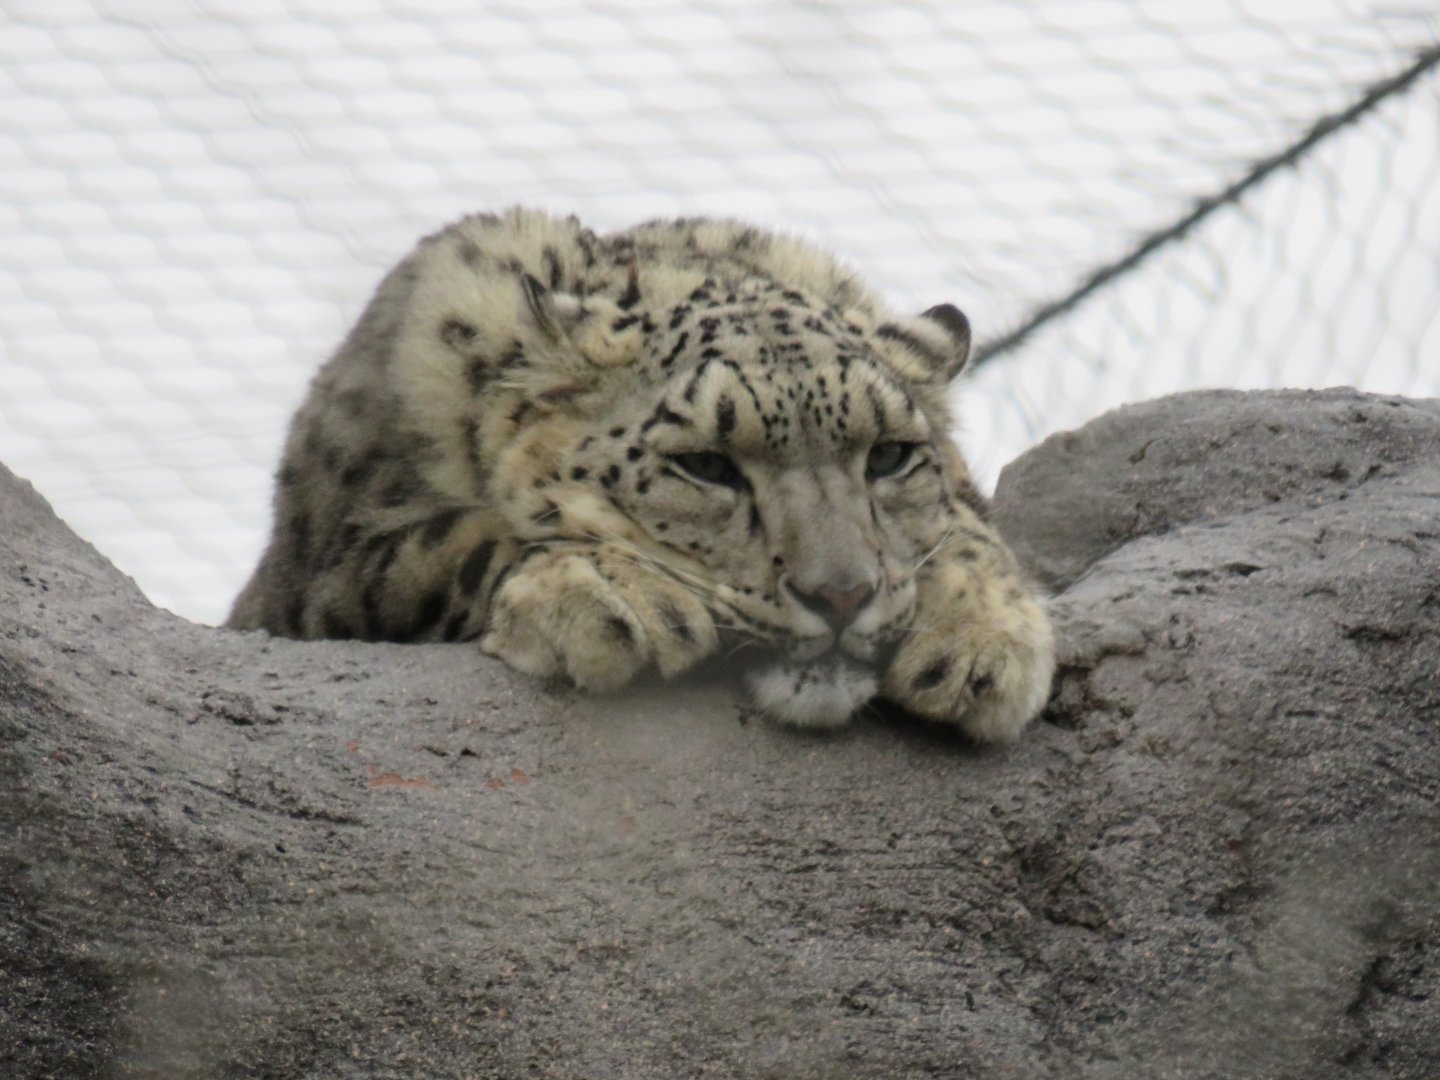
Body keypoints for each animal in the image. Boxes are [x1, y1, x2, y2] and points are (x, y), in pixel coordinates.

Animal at [228, 208, 1054, 741]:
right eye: (706, 465)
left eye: (888, 454)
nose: (842, 596)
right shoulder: (331, 568)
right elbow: (456, 541)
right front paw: (615, 596)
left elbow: (970, 530)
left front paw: (980, 645)